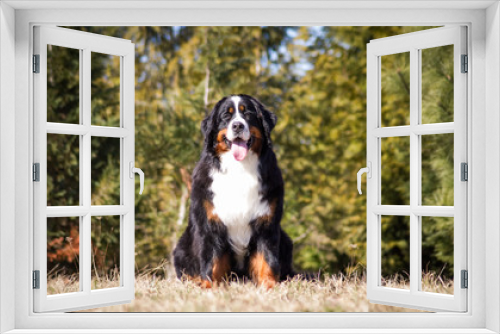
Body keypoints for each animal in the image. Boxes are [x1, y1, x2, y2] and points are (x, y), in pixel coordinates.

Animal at [174, 94, 294, 290]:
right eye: (226, 116)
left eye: (248, 114)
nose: (237, 125)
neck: (239, 168)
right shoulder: (210, 223)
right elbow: (212, 260)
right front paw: (209, 286)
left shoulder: (266, 223)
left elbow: (267, 259)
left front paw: (269, 285)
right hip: (182, 246)